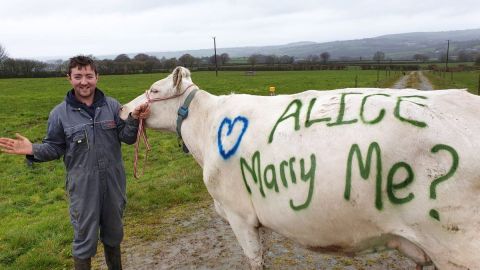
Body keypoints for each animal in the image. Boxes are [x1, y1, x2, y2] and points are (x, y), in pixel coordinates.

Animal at [120, 66, 480, 268]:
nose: (123, 109)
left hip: (457, 245)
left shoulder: (238, 214)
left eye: (153, 90)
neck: (207, 127)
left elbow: (254, 261)